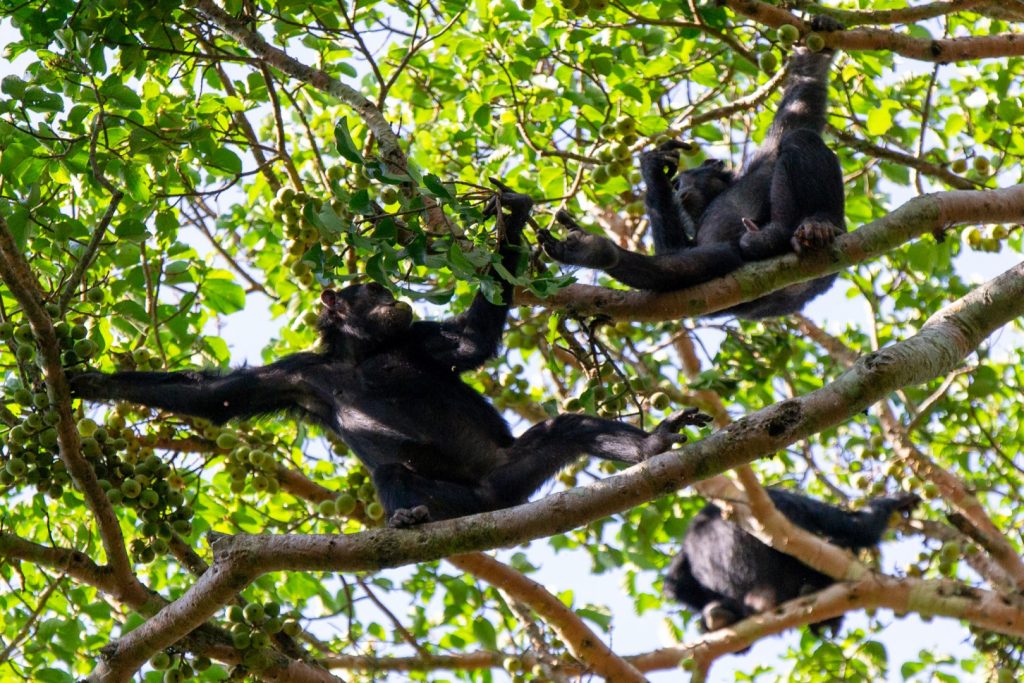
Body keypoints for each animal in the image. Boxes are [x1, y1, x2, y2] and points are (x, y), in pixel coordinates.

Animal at [72, 183, 712, 528]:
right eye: (372, 292)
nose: (392, 296)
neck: (361, 353)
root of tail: (491, 498)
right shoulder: (296, 377)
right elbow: (214, 397)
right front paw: (91, 382)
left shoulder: (418, 338)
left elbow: (469, 343)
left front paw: (509, 214)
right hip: (456, 496)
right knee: (392, 472)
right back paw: (409, 514)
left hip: (516, 470)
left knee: (567, 430)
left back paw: (649, 446)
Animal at [540, 22, 843, 319]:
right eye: (674, 186)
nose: (678, 189)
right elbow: (678, 250)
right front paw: (653, 167)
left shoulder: (767, 157)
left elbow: (800, 107)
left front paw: (817, 47)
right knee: (715, 258)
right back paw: (596, 251)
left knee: (800, 139)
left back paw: (818, 223)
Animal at [663, 489, 921, 638]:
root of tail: (759, 598)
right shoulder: (783, 497)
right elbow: (857, 527)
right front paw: (894, 501)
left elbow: (676, 583)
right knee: (844, 538)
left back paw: (719, 615)